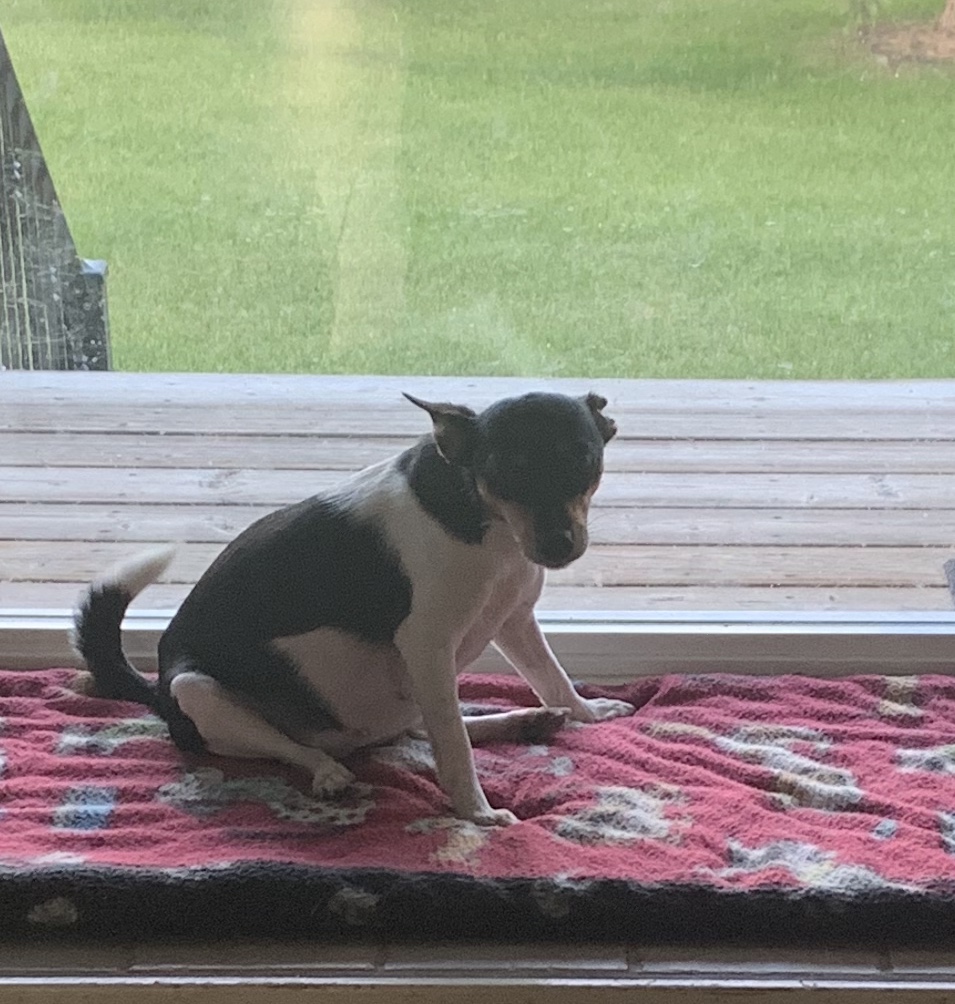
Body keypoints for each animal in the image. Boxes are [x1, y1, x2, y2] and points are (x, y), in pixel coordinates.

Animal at [72, 391, 635, 826]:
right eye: (504, 473)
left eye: (584, 459)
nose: (559, 544)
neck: (485, 519)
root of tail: (157, 692)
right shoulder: (428, 647)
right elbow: (453, 746)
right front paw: (477, 813)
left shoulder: (514, 621)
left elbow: (549, 677)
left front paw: (586, 712)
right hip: (198, 691)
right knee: (296, 747)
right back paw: (326, 771)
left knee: (418, 726)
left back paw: (528, 720)